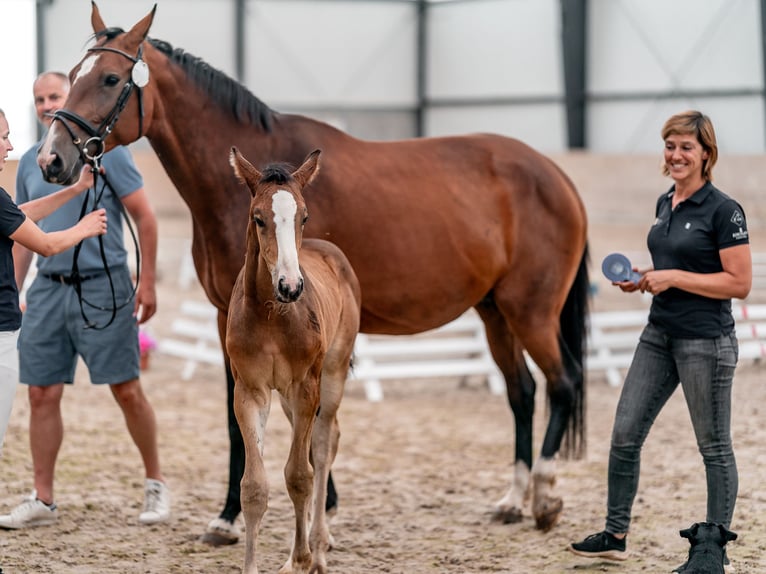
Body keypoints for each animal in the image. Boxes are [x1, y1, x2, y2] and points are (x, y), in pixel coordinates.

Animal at [227, 147, 360, 574]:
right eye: (258, 217)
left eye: (304, 216)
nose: (291, 285)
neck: (271, 314)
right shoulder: (250, 392)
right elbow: (254, 486)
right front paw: (256, 567)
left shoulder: (306, 387)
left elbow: (300, 475)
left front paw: (303, 558)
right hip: (285, 397)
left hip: (330, 377)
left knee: (323, 444)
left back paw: (316, 546)